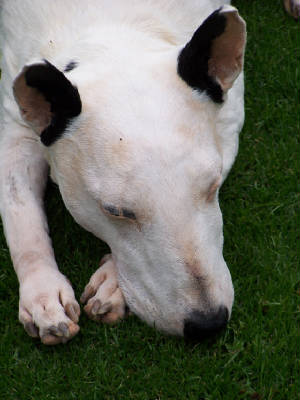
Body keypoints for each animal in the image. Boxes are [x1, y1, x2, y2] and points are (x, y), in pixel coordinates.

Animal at [1, 0, 288, 344]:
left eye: (213, 186)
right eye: (116, 211)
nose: (208, 324)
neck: (112, 28)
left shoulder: (230, 118)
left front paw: (112, 282)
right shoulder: (15, 127)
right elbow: (20, 214)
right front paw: (42, 291)